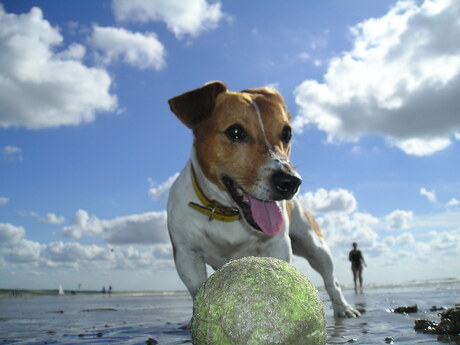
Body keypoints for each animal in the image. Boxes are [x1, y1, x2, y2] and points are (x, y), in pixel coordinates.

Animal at [165, 81, 360, 318]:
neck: (228, 214)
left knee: (332, 280)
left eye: (287, 133)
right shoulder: (186, 255)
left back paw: (343, 307)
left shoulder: (277, 246)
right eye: (235, 132)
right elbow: (196, 288)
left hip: (316, 246)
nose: (291, 182)